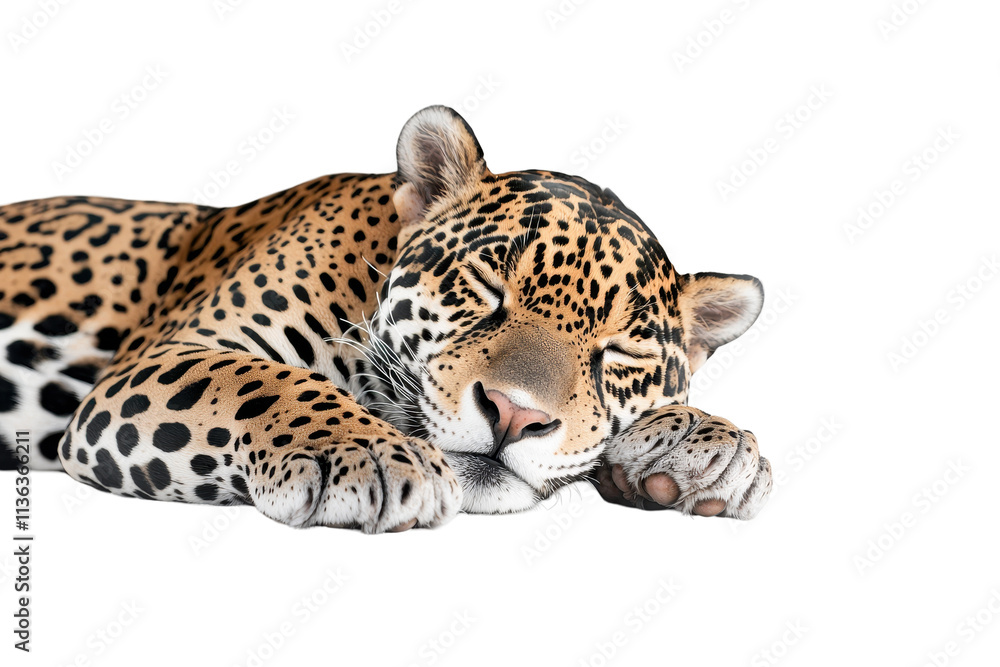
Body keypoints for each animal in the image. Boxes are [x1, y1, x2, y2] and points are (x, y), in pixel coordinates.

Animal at [0, 106, 772, 533]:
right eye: (487, 284)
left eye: (620, 353)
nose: (514, 415)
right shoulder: (163, 359)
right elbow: (265, 380)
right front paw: (366, 451)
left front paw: (710, 445)